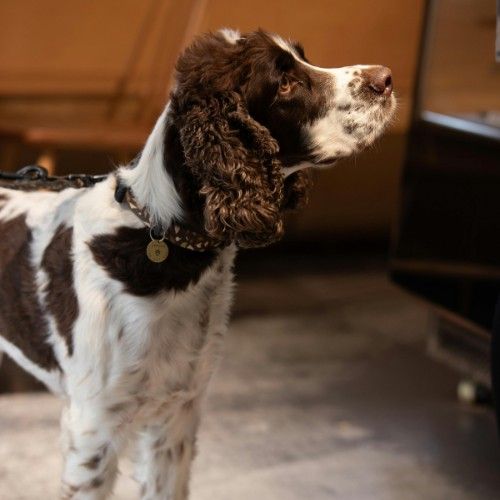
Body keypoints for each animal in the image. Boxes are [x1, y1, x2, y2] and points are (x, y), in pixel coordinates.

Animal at [0, 29, 394, 498]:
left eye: (304, 59)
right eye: (283, 83)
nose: (387, 78)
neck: (162, 237)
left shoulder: (178, 414)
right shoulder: (93, 429)